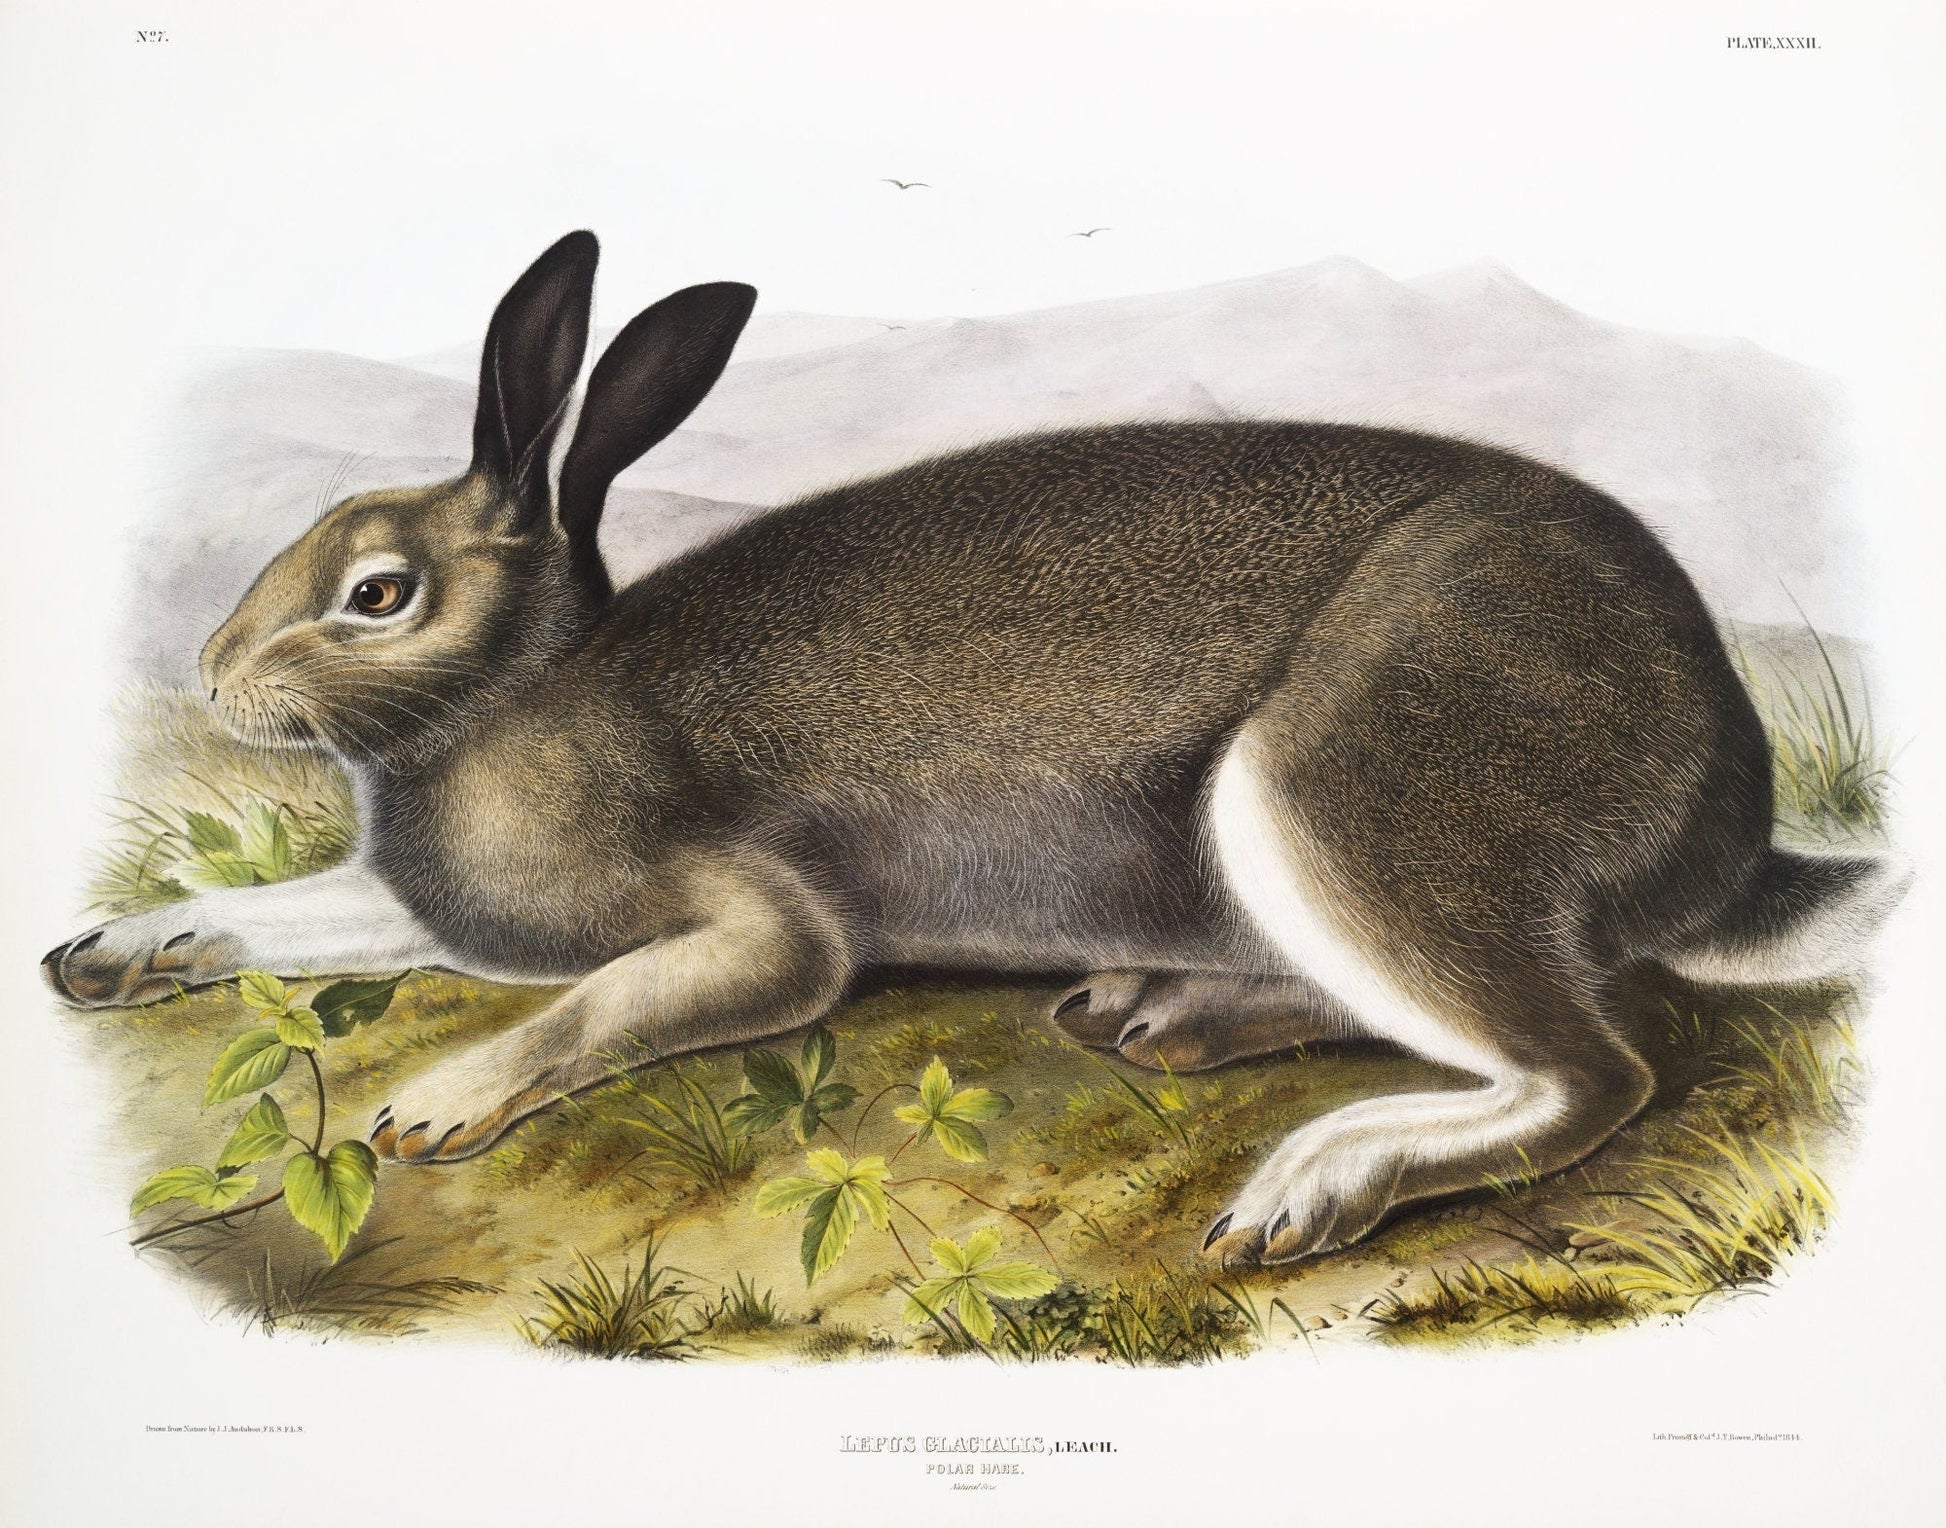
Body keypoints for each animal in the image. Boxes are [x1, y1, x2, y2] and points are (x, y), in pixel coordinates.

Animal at [44, 231, 1908, 1266]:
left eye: (376, 590)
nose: (213, 675)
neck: (525, 689)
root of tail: (1727, 819)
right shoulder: (414, 907)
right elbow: (294, 916)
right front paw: (107, 953)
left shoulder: (759, 927)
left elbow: (623, 1000)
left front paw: (436, 1106)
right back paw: (1158, 1013)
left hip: (1336, 789)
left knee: (1587, 1070)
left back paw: (1305, 1180)